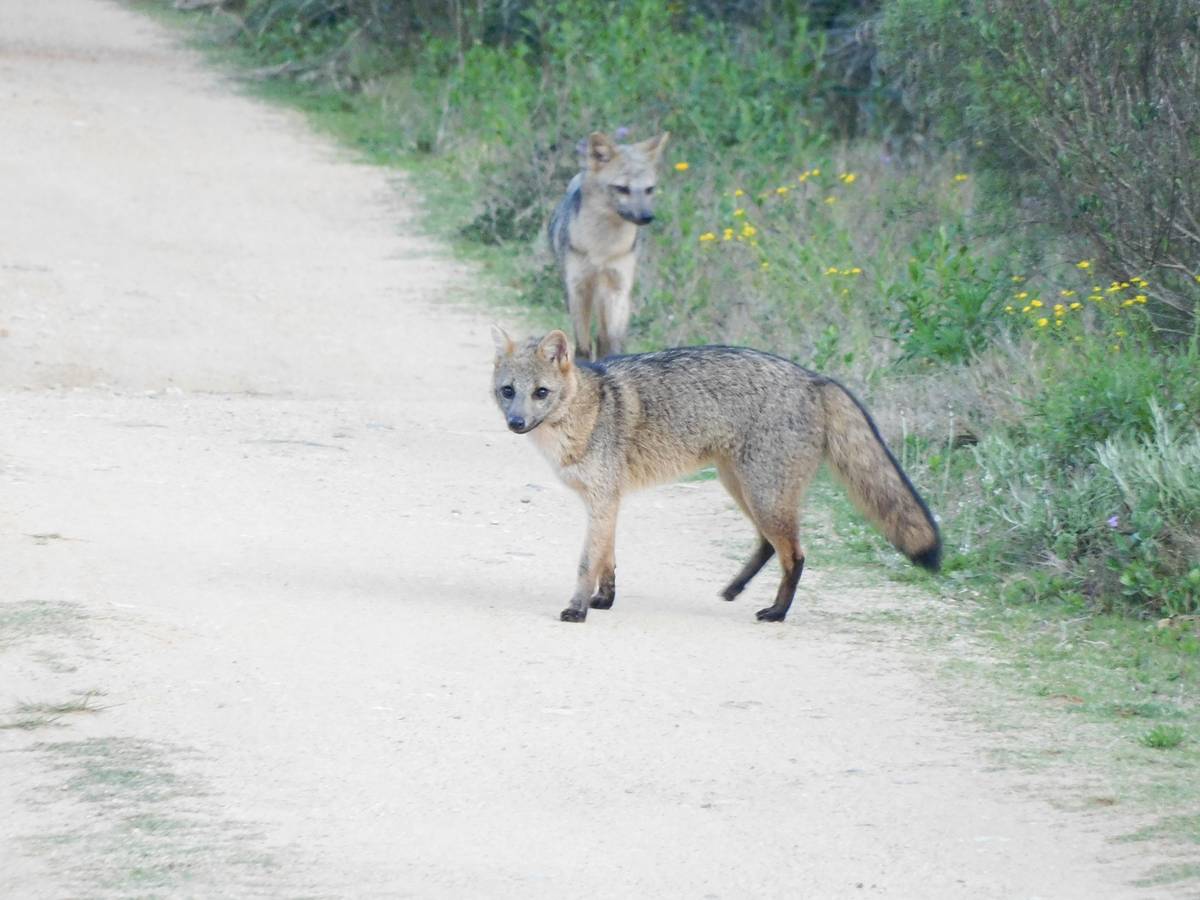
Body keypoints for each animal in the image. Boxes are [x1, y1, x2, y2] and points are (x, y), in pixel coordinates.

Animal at [492, 328, 940, 628]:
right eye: (508, 391)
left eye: (541, 393)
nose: (515, 424)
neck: (585, 414)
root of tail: (815, 378)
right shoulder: (607, 501)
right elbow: (608, 559)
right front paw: (605, 599)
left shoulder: (603, 499)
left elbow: (589, 561)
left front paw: (578, 608)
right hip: (743, 489)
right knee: (768, 545)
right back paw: (734, 590)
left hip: (763, 496)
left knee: (795, 555)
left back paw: (777, 612)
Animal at [549, 130, 672, 362]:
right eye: (622, 189)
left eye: (649, 189)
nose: (647, 217)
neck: (602, 248)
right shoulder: (578, 287)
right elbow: (583, 344)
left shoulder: (618, 288)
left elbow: (612, 341)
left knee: (603, 337)